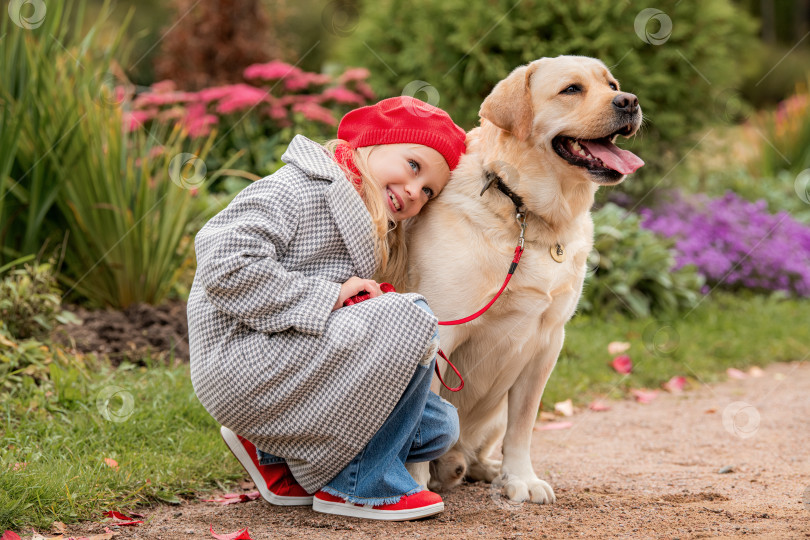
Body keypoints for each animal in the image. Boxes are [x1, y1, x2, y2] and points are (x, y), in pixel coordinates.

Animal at [400, 57, 640, 504]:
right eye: (571, 89)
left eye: (612, 85)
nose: (630, 101)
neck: (526, 211)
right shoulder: (441, 335)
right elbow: (421, 421)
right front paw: (416, 484)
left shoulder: (547, 340)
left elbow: (523, 425)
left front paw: (520, 478)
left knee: (472, 447)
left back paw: (478, 467)